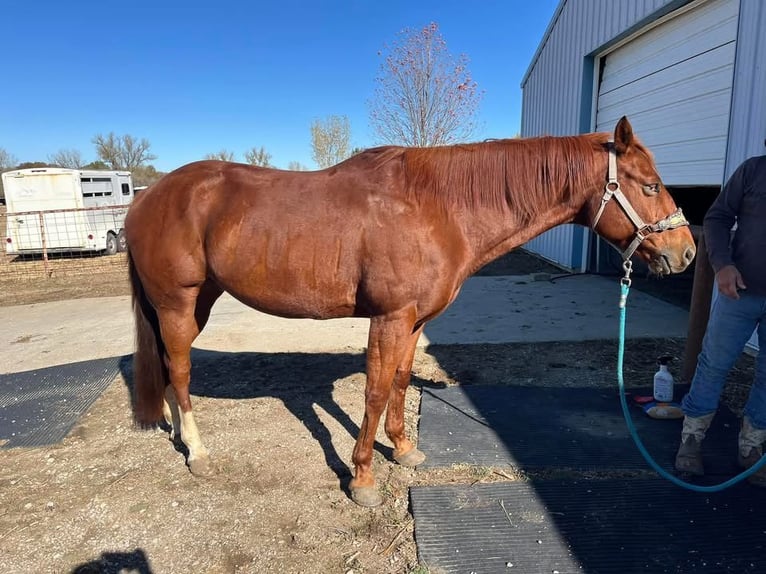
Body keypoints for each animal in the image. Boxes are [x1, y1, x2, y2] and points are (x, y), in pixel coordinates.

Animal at [124, 117, 696, 508]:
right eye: (649, 184)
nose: (686, 253)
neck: (436, 207)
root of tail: (147, 198)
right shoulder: (390, 317)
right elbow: (375, 391)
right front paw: (362, 478)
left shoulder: (415, 320)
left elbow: (399, 380)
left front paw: (402, 449)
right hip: (178, 301)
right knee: (180, 369)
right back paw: (198, 452)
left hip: (197, 300)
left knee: (170, 368)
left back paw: (177, 434)